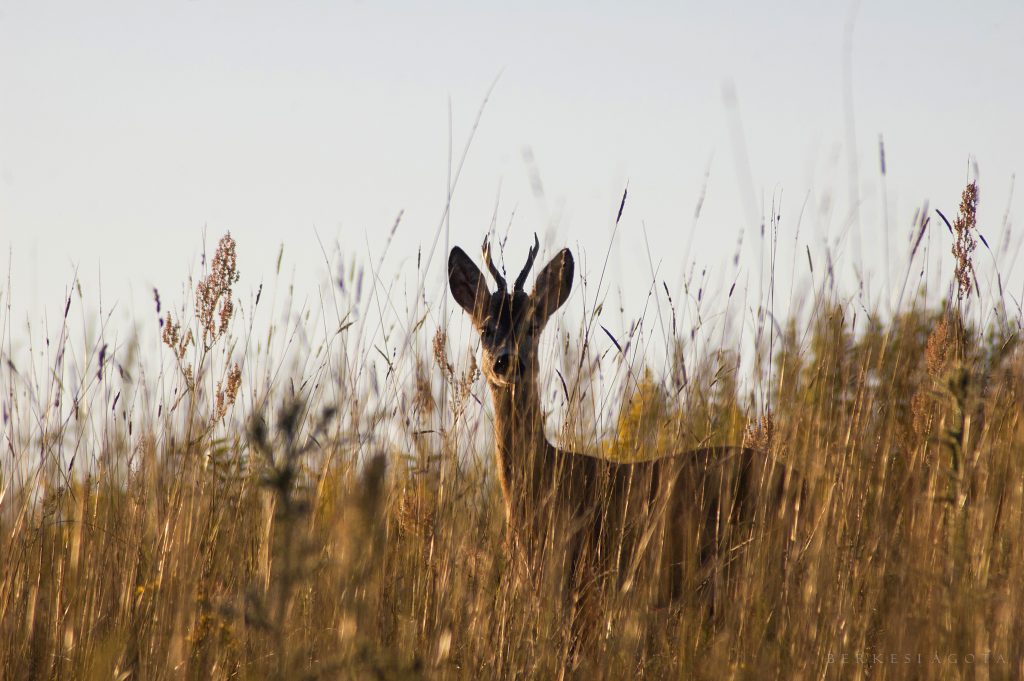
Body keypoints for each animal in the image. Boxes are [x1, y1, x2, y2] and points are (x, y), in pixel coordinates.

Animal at [446, 237, 798, 643]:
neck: (542, 483)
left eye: (532, 325)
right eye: (486, 328)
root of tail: (803, 484)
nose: (507, 362)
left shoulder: (580, 578)